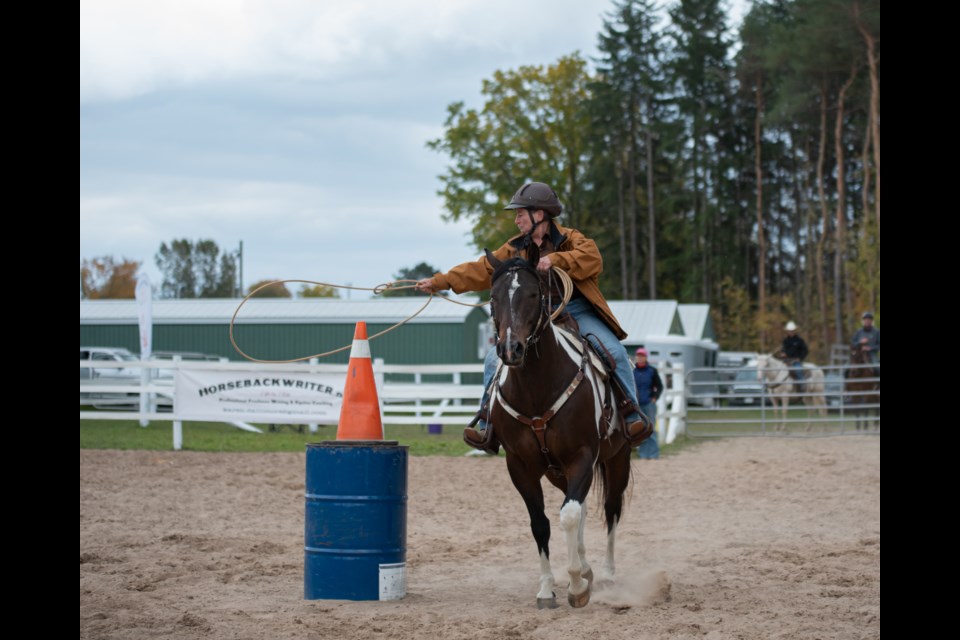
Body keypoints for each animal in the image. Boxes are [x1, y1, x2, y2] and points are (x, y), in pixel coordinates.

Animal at [488, 248, 632, 608]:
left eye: (533, 294)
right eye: (493, 297)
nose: (511, 349)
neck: (536, 390)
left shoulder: (582, 455)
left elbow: (569, 515)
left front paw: (578, 586)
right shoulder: (519, 465)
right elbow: (541, 523)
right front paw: (547, 589)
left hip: (617, 458)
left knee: (610, 509)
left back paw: (605, 573)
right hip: (558, 472)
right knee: (579, 507)